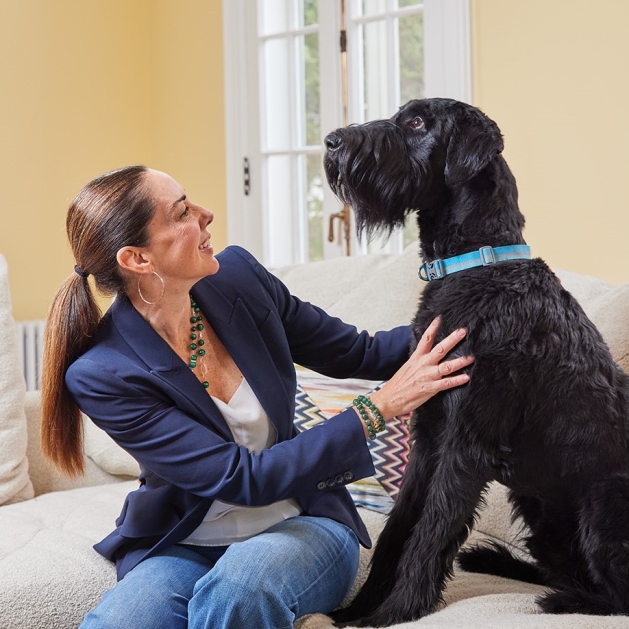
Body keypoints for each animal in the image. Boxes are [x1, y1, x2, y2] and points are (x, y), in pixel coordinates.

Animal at [324, 98, 629, 624]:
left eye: (417, 122)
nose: (331, 142)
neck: (474, 265)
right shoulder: (428, 437)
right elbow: (397, 530)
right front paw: (357, 611)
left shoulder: (465, 444)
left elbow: (430, 534)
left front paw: (393, 614)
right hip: (536, 506)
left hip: (604, 505)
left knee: (616, 597)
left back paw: (562, 601)